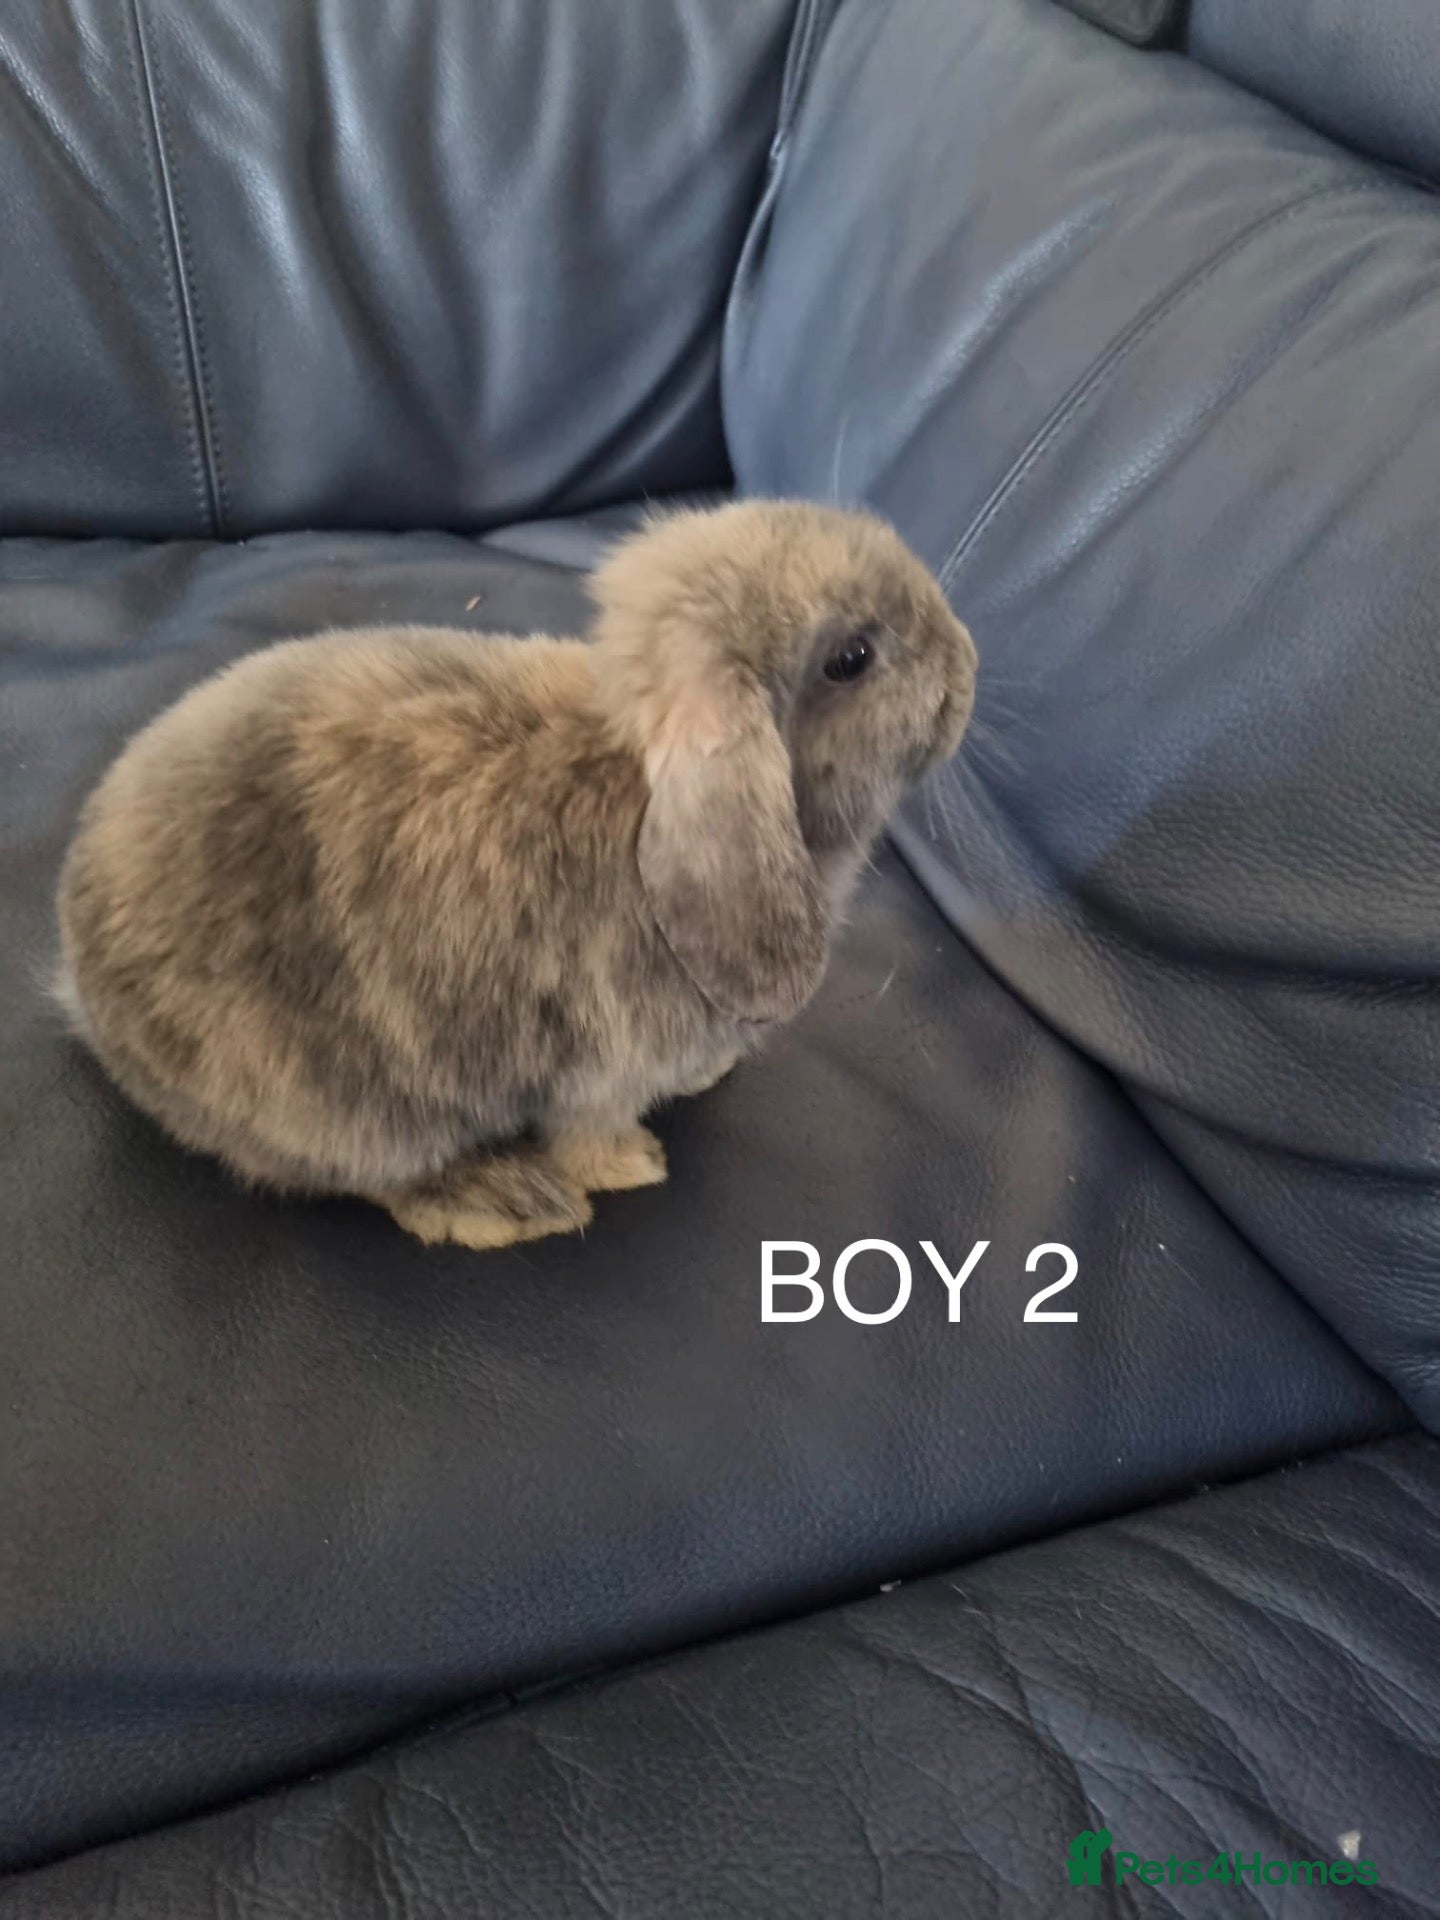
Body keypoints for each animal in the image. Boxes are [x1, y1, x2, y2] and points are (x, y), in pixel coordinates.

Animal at [55, 501, 976, 1250]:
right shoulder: (604, 1064)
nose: (967, 662)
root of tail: (87, 995)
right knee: (372, 1178)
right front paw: (632, 1165)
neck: (632, 774)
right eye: (852, 657)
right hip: (346, 1109)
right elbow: (591, 1132)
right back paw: (506, 1200)